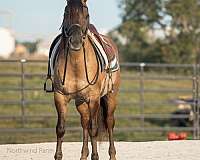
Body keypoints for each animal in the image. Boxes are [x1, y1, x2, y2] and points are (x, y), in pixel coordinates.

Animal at [50, 0, 121, 160]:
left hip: (111, 97)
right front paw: (58, 155)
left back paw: (112, 155)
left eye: (86, 13)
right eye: (66, 12)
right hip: (80, 102)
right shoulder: (60, 97)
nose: (75, 41)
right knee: (85, 122)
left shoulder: (93, 98)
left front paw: (95, 156)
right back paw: (83, 155)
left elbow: (94, 129)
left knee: (108, 122)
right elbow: (60, 129)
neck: (76, 64)